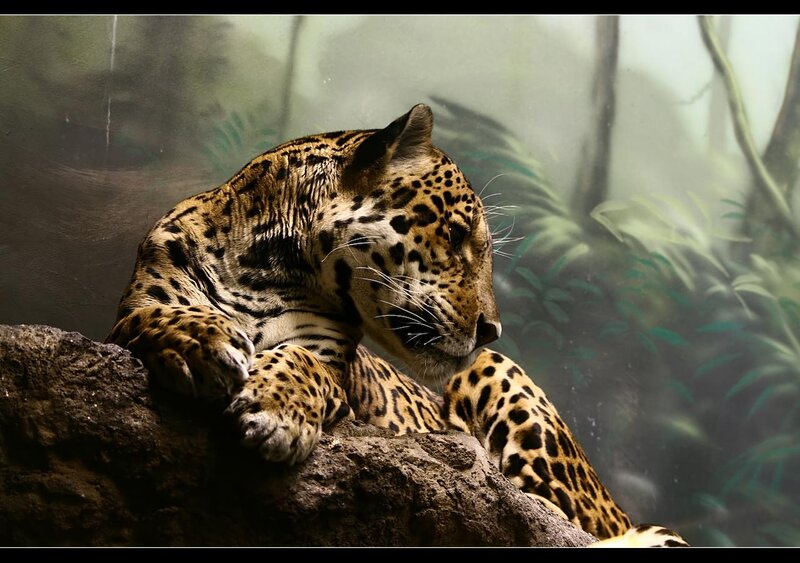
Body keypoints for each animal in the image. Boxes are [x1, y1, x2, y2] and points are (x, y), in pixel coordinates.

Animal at [107, 104, 688, 547]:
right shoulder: (130, 310)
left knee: (556, 520)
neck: (262, 269)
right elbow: (154, 316)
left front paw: (275, 411)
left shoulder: (331, 367)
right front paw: (201, 340)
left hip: (506, 384)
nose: (492, 329)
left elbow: (301, 362)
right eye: (455, 235)